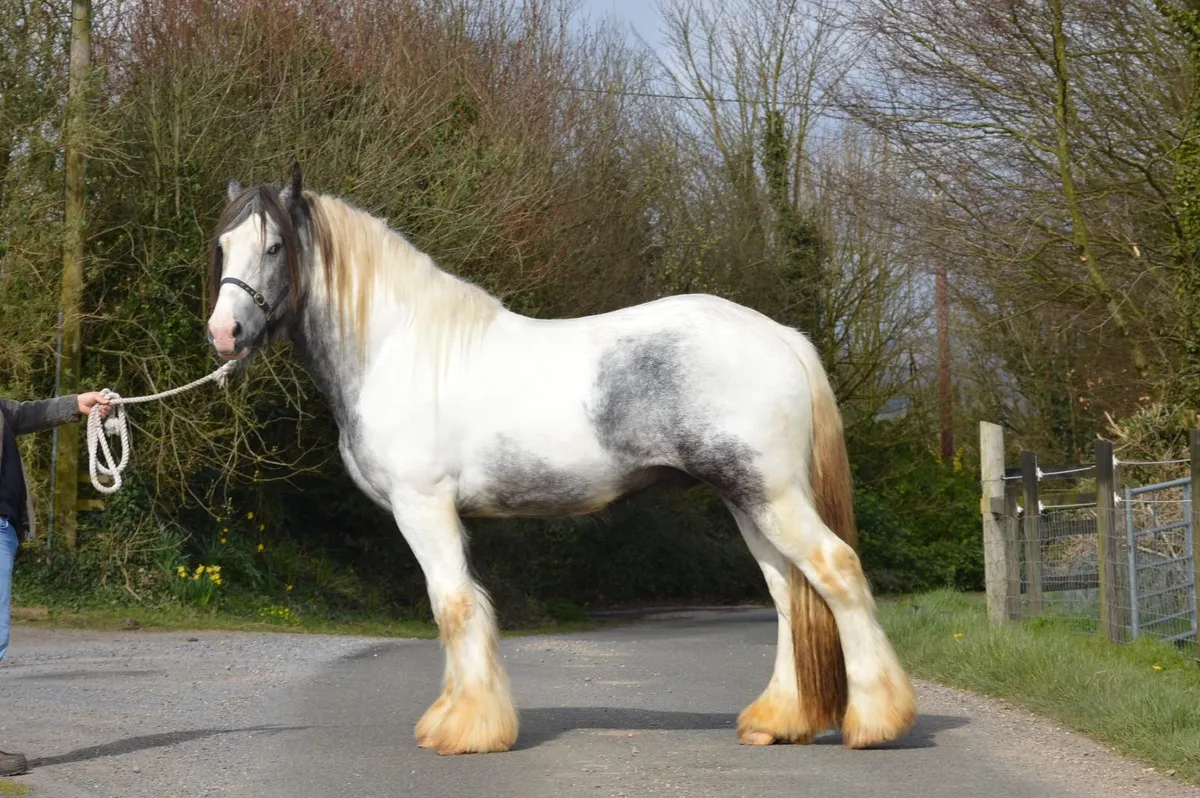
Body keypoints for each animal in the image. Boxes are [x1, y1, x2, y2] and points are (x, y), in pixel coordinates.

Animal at [205, 163, 917, 755]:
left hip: (771, 495)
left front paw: (467, 730)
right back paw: (778, 721)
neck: (398, 350)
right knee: (789, 593)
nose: (224, 334)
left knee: (837, 571)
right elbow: (455, 605)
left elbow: (454, 604)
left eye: (275, 247)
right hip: (748, 501)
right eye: (223, 246)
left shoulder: (424, 506)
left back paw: (876, 722)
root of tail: (781, 336)